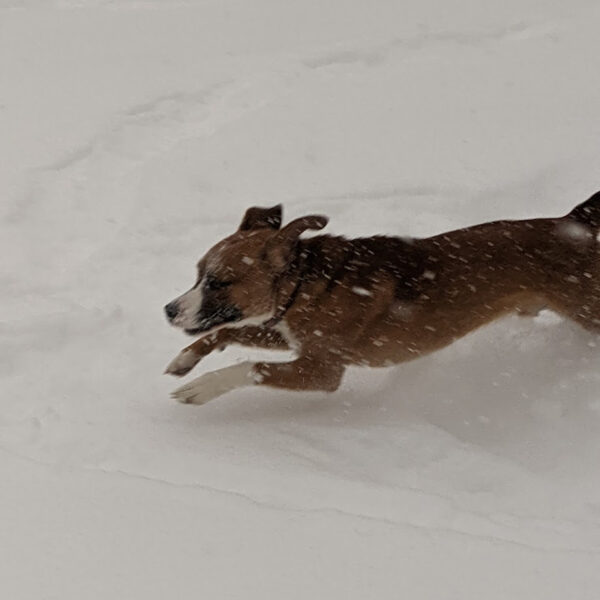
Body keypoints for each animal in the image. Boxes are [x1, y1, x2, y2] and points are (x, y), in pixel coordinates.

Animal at [163, 195, 600, 406]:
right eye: (197, 274)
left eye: (219, 282)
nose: (169, 309)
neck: (302, 286)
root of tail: (575, 223)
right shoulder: (292, 336)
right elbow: (228, 333)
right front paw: (184, 360)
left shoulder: (322, 370)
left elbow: (249, 367)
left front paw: (201, 388)